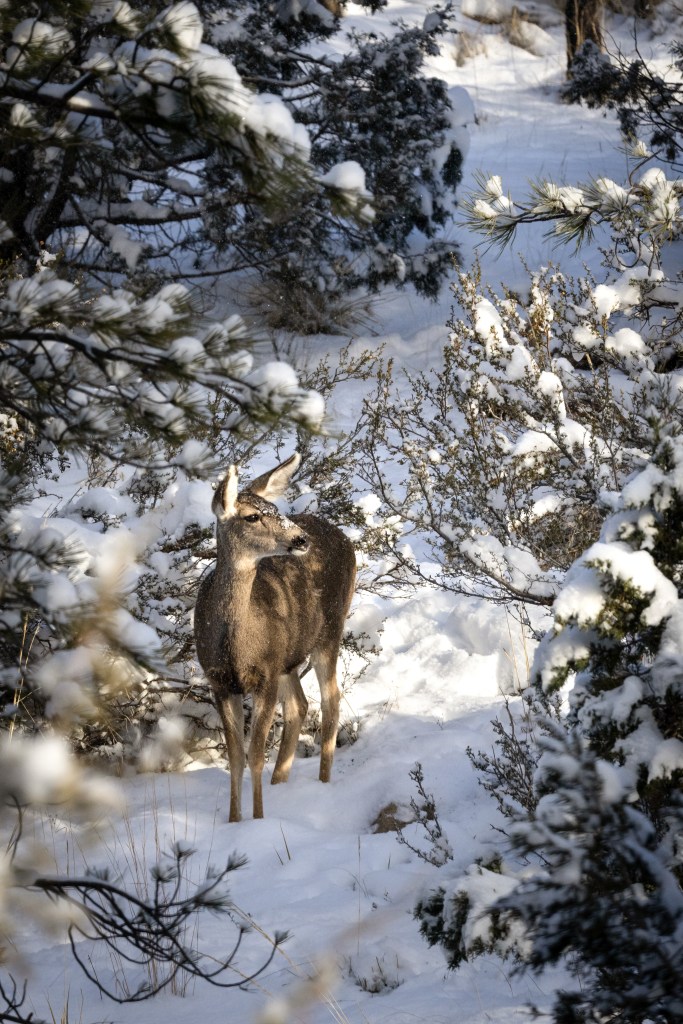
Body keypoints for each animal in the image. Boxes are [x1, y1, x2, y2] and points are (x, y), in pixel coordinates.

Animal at [194, 453, 356, 822]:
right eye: (252, 516)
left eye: (275, 507)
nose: (300, 539)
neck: (235, 646)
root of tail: (344, 538)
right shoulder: (219, 682)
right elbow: (235, 758)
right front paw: (234, 820)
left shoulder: (265, 676)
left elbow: (254, 755)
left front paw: (257, 820)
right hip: (288, 657)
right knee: (299, 704)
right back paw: (280, 780)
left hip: (329, 632)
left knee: (331, 699)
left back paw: (323, 781)